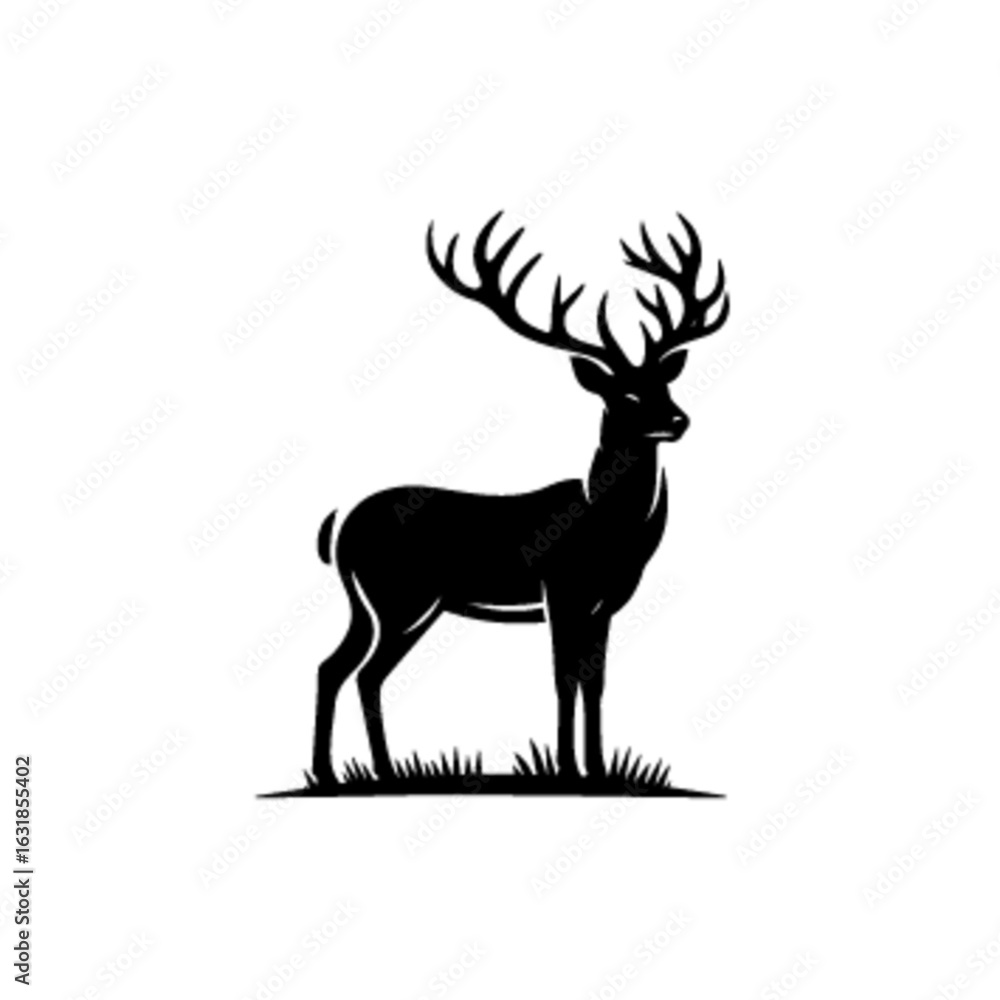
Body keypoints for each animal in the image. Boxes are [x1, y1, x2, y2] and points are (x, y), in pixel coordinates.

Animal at [311, 211, 729, 784]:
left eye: (662, 385)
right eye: (623, 394)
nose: (678, 419)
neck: (610, 531)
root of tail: (339, 525)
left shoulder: (606, 602)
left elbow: (596, 682)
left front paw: (599, 771)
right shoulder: (561, 588)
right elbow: (562, 677)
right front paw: (567, 771)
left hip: (372, 602)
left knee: (336, 667)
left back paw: (342, 773)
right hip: (402, 596)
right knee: (363, 672)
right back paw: (377, 773)